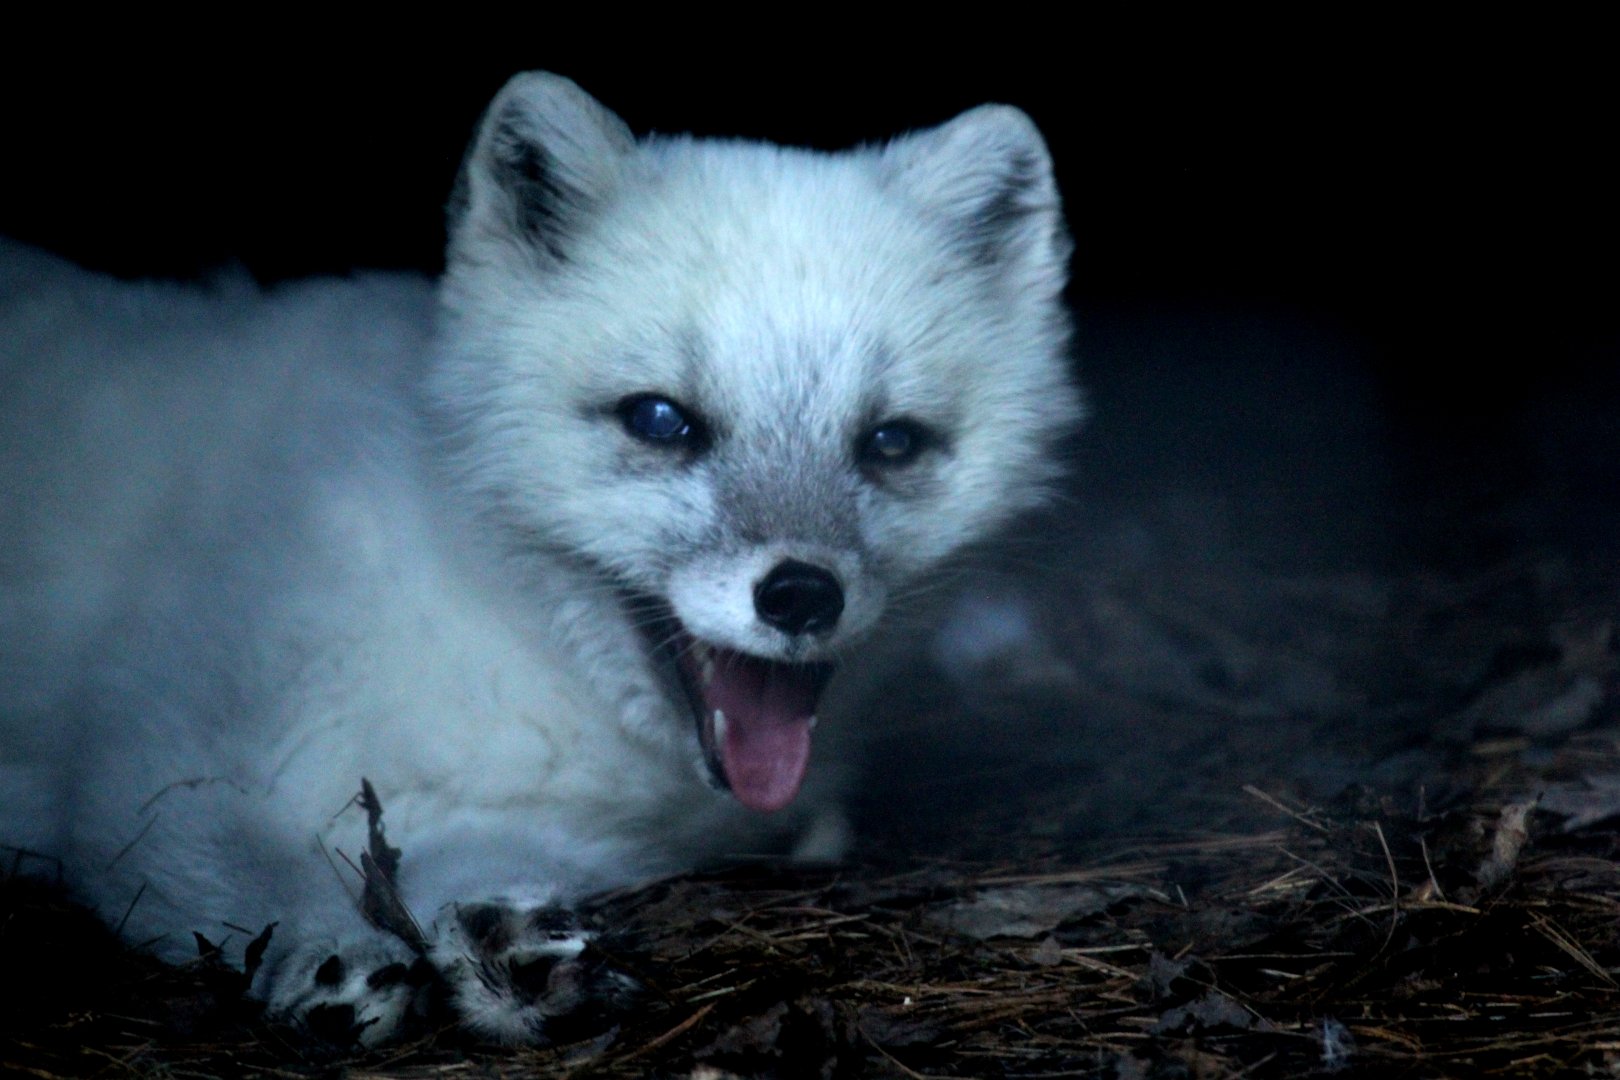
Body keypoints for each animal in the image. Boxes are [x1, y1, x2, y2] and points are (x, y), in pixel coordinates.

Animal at [0, 72, 1081, 1043]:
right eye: (660, 421)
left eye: (891, 442)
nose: (802, 596)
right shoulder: (148, 760)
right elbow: (234, 859)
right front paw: (318, 947)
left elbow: (448, 859)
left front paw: (496, 942)